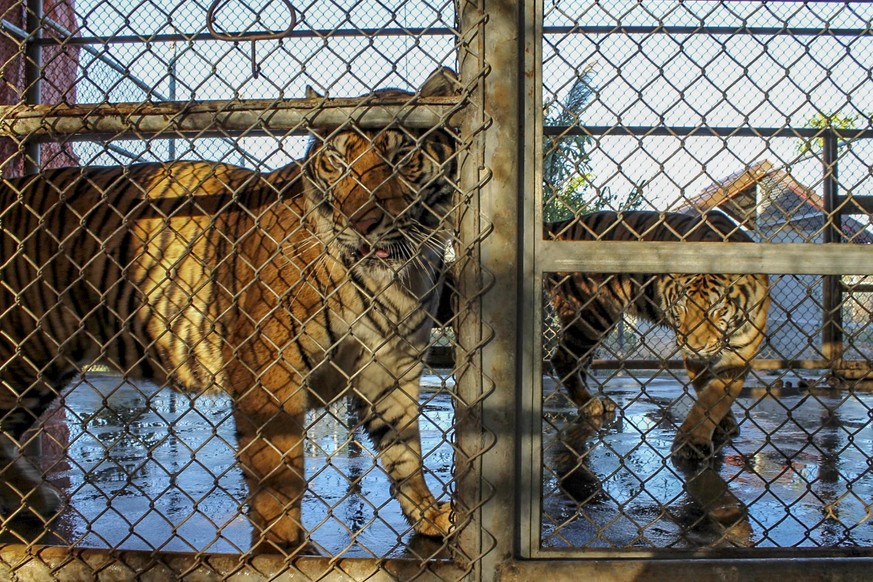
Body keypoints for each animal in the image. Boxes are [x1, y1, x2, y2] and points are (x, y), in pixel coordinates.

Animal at [0, 67, 460, 552]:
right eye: (337, 161)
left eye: (402, 156)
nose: (359, 223)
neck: (397, 279)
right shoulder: (269, 369)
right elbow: (279, 470)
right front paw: (284, 549)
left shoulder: (392, 369)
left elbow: (405, 454)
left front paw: (430, 516)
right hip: (22, 351)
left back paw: (35, 503)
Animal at [544, 212, 768, 464]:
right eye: (680, 307)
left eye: (716, 310)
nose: (694, 346)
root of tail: (561, 225)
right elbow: (706, 398)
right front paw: (692, 444)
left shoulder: (741, 351)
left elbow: (717, 394)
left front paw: (722, 423)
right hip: (591, 314)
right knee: (564, 358)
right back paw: (590, 404)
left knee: (580, 362)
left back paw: (597, 401)